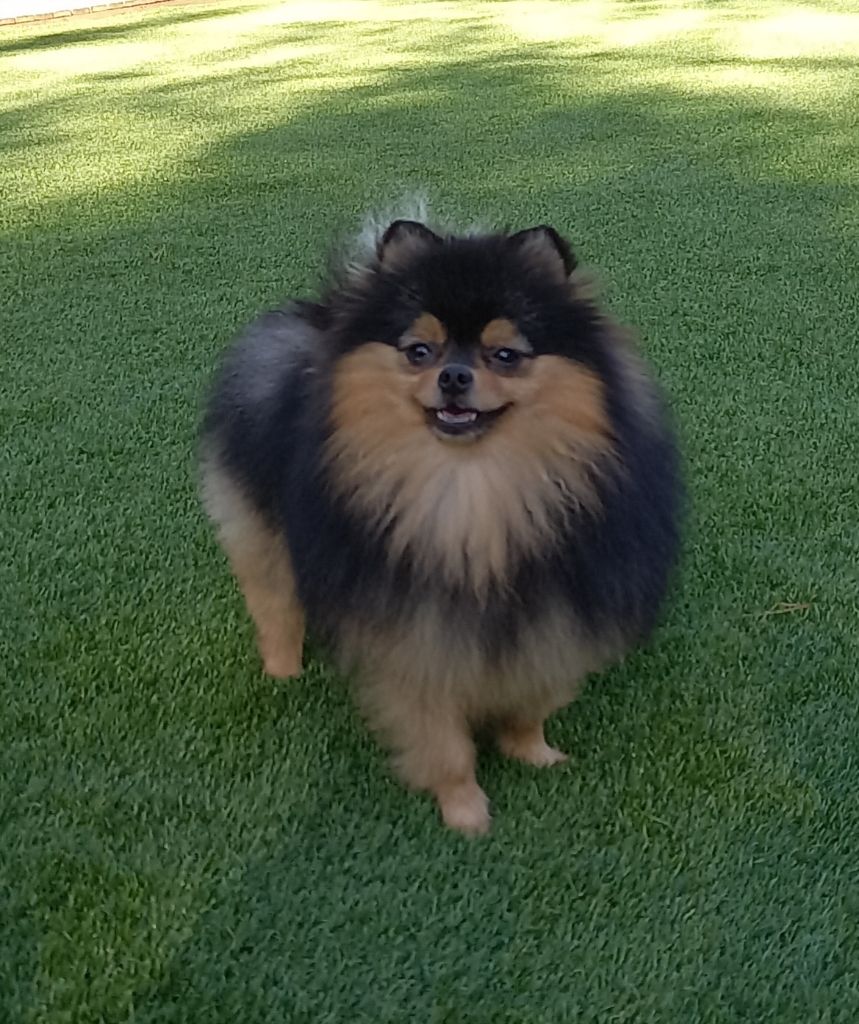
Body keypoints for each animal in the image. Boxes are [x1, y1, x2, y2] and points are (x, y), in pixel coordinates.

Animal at [199, 210, 683, 835]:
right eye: (419, 351)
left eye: (505, 355)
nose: (454, 376)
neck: (471, 489)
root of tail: (327, 309)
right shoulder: (413, 630)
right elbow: (443, 741)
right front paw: (465, 812)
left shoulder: (557, 607)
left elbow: (534, 696)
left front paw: (533, 752)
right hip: (262, 528)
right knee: (275, 603)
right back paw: (284, 673)